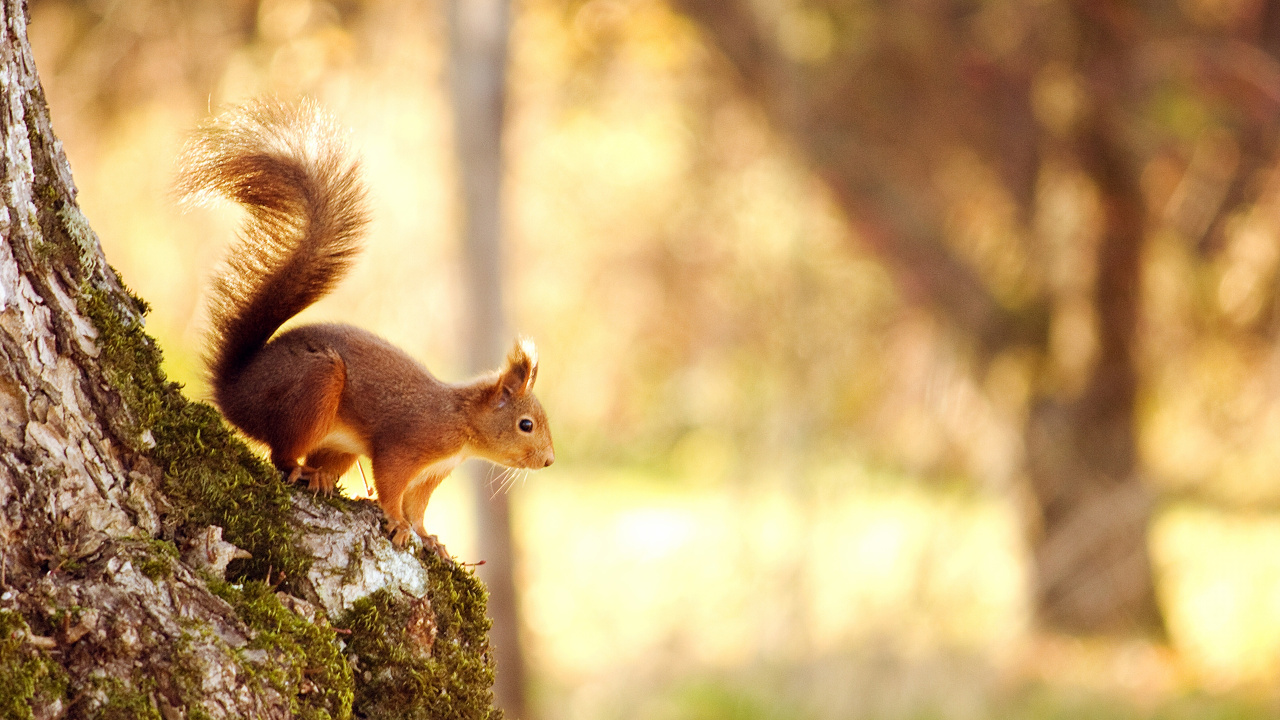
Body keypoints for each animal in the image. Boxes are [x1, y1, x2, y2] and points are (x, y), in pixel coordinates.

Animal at [179, 98, 554, 552]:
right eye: (525, 424)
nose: (550, 461)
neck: (461, 423)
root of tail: (234, 390)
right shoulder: (407, 445)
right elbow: (392, 485)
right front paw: (396, 523)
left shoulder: (433, 473)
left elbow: (418, 505)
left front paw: (429, 538)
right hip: (314, 386)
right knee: (281, 454)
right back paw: (302, 470)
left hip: (338, 442)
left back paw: (321, 476)